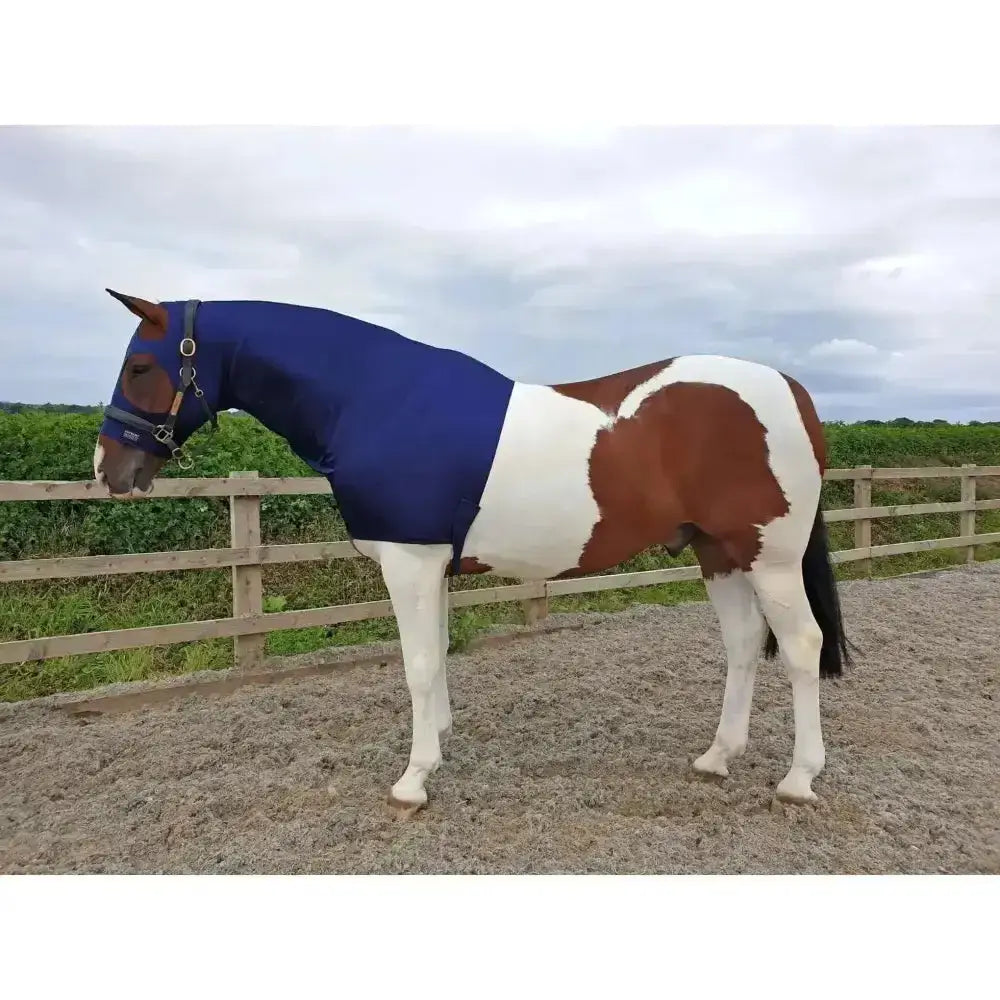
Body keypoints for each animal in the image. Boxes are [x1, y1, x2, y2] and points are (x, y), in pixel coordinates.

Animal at [94, 288, 851, 815]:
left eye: (140, 365)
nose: (108, 471)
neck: (375, 399)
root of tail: (791, 389)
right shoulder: (430, 563)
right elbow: (438, 656)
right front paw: (439, 746)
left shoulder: (409, 560)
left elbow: (419, 666)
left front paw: (412, 781)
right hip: (719, 553)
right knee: (745, 644)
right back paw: (717, 757)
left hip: (769, 560)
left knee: (802, 646)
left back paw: (798, 778)